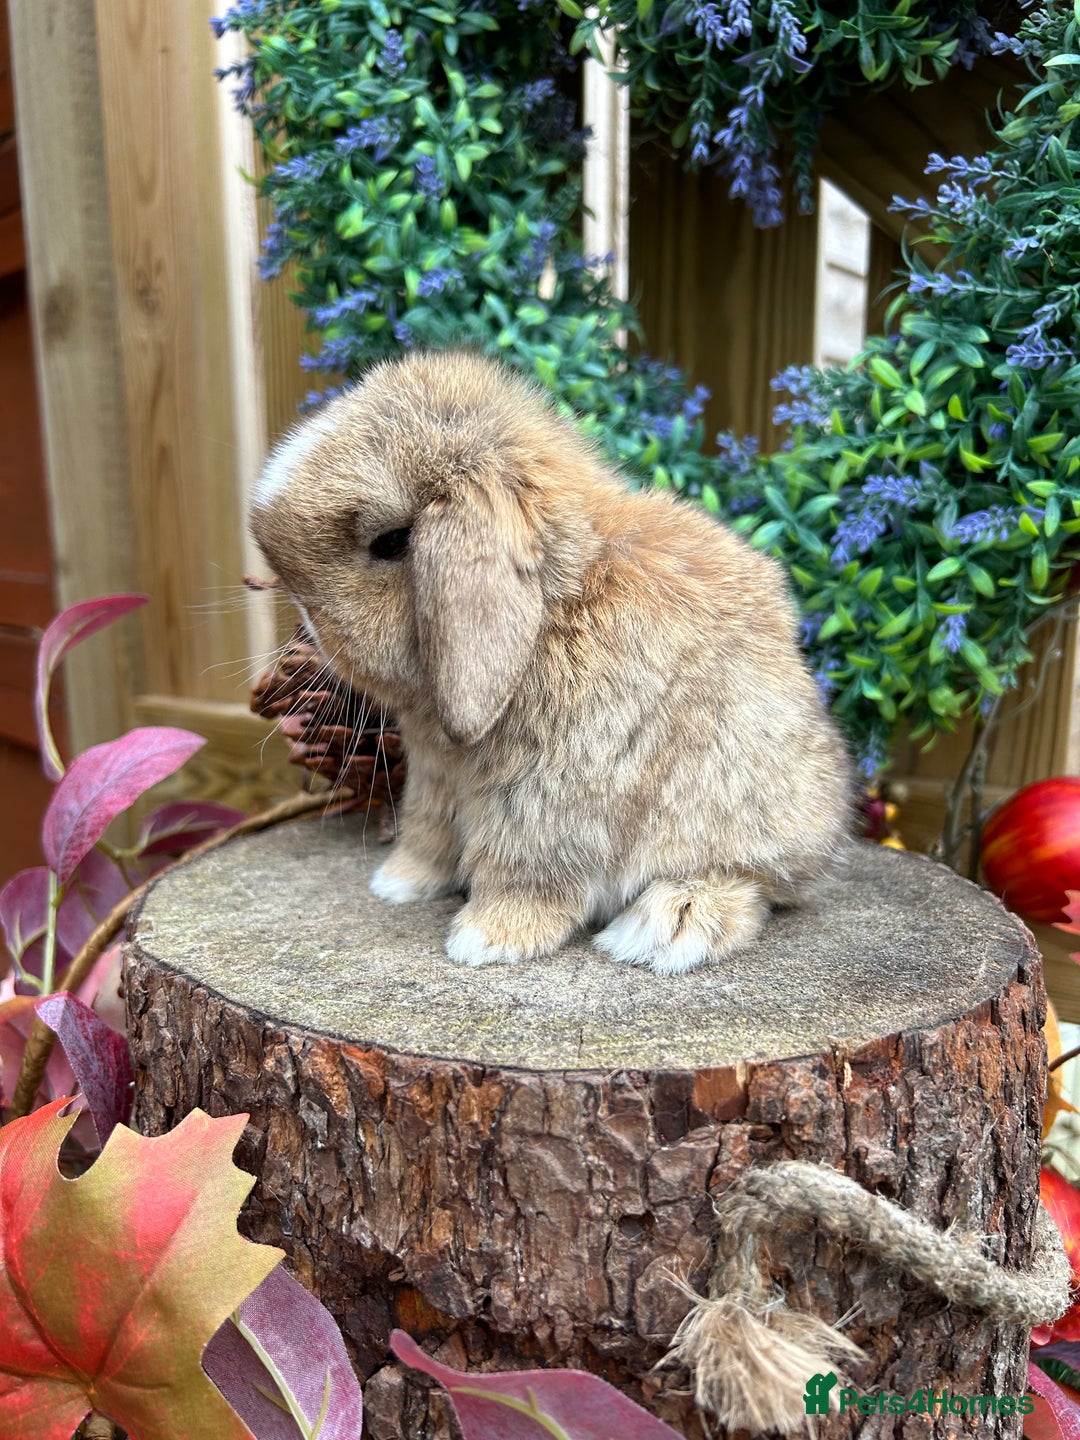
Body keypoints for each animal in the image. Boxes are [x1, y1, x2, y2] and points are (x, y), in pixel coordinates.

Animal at [250, 348, 852, 975]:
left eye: (392, 542)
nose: (309, 622)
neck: (551, 615)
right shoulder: (433, 780)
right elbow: (427, 831)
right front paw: (398, 884)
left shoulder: (546, 796)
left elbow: (525, 870)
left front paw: (485, 939)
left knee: (751, 884)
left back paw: (666, 926)